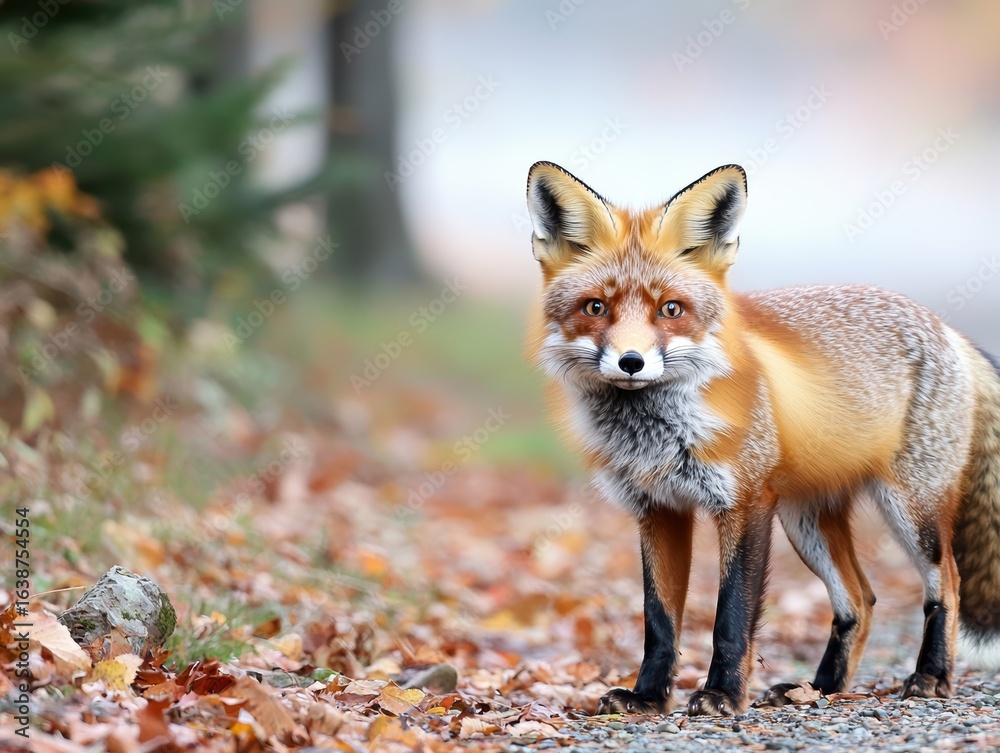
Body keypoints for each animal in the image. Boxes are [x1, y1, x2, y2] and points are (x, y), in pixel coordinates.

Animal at [525, 161, 1000, 717]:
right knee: (860, 600)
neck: (656, 435)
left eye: (671, 310)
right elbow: (659, 621)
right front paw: (647, 697)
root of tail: (944, 328)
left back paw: (931, 677)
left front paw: (722, 695)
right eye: (596, 307)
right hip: (806, 520)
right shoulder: (659, 509)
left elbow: (731, 615)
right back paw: (820, 689)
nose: (631, 362)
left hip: (911, 509)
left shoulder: (746, 502)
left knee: (948, 583)